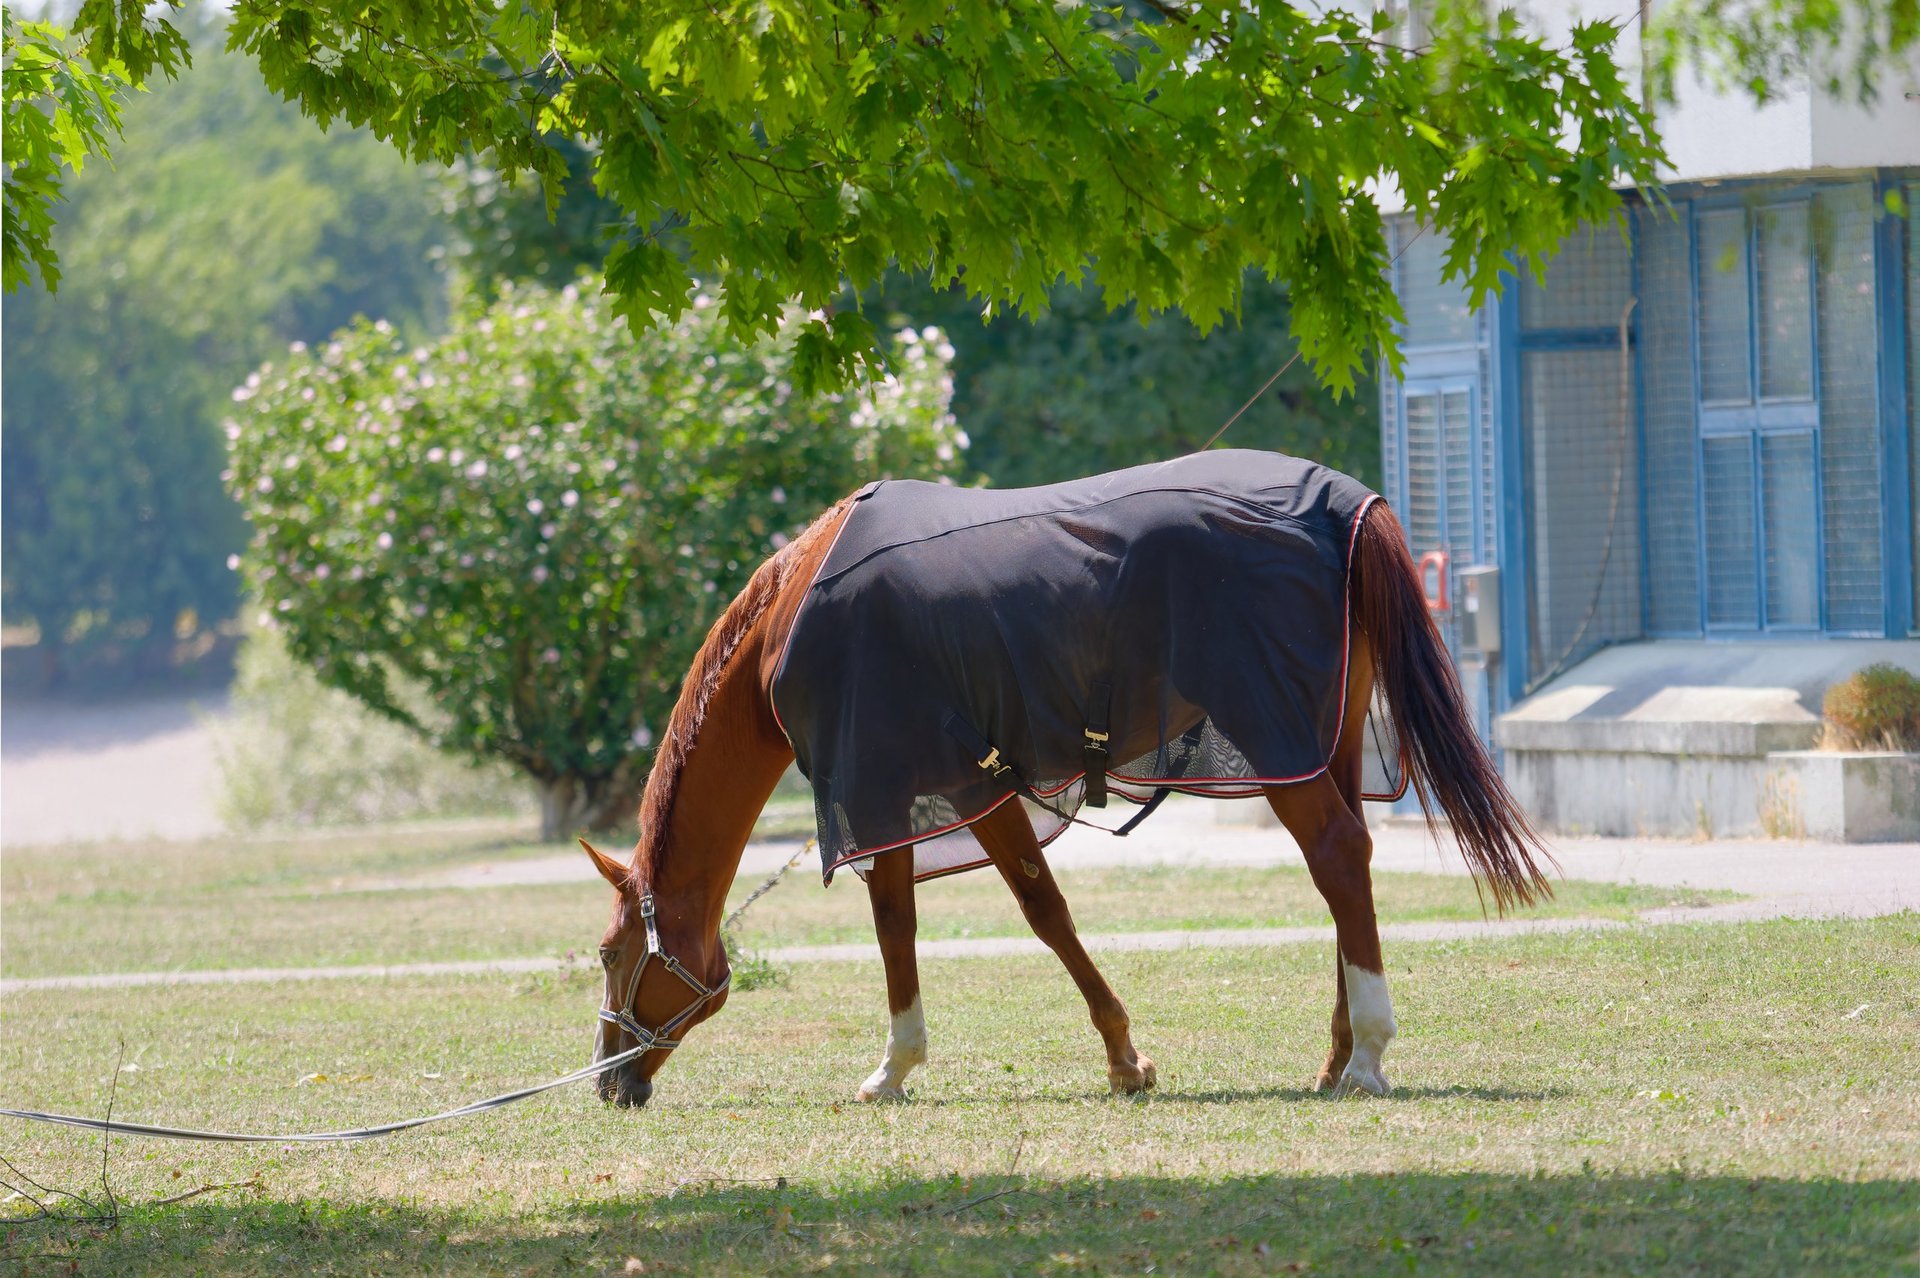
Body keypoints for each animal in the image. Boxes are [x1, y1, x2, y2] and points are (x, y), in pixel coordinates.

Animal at [579, 451, 1552, 1109]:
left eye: (611, 953)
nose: (606, 1078)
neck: (791, 624)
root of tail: (1344, 504)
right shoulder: (903, 797)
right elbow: (912, 918)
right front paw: (905, 1066)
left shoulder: (931, 787)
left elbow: (1022, 912)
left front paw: (1114, 1059)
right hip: (1321, 742)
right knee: (1343, 874)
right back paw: (1337, 1055)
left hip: (1276, 736)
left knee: (1341, 857)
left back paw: (1370, 1056)